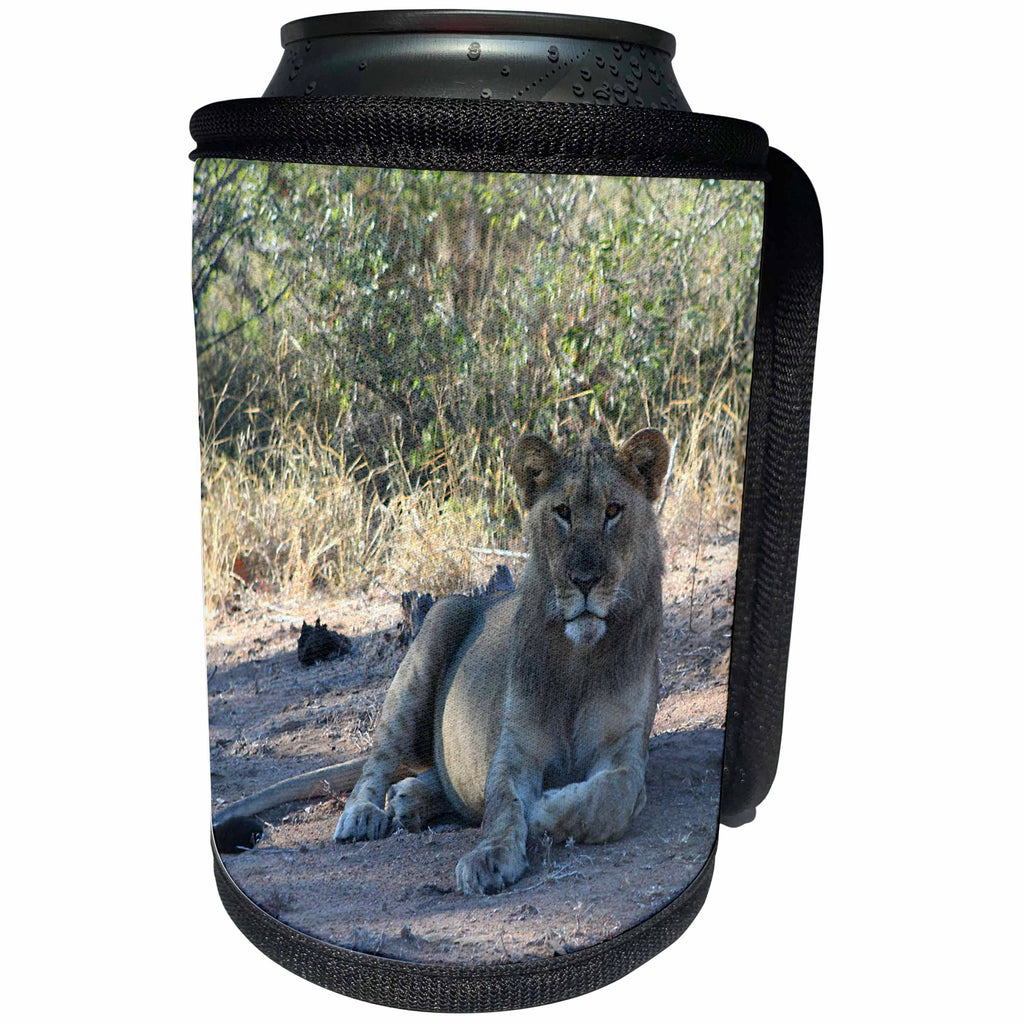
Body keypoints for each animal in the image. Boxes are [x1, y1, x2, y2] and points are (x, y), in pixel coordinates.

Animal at [213, 428, 670, 895]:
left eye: (613, 510)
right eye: (562, 512)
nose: (584, 581)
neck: (581, 657)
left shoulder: (627, 749)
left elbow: (612, 798)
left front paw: (543, 808)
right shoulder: (515, 747)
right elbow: (502, 806)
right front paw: (490, 856)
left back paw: (409, 799)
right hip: (435, 629)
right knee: (378, 761)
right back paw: (363, 815)